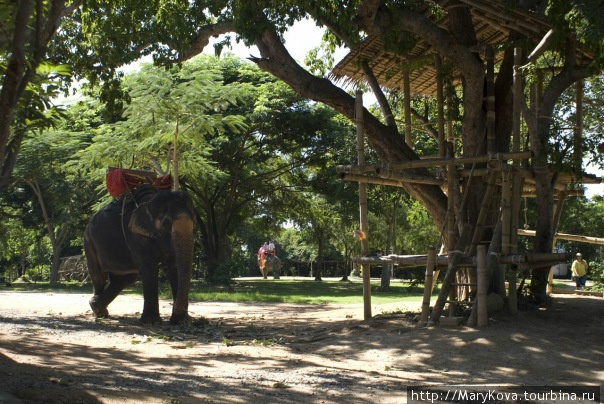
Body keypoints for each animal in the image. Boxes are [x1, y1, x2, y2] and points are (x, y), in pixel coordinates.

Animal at [82, 186, 195, 326]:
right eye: (167, 223)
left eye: (194, 221)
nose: (174, 308)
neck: (150, 201)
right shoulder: (137, 235)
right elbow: (149, 267)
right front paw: (151, 322)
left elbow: (174, 267)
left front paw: (180, 321)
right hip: (89, 242)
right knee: (99, 276)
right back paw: (99, 311)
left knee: (124, 279)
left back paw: (97, 305)